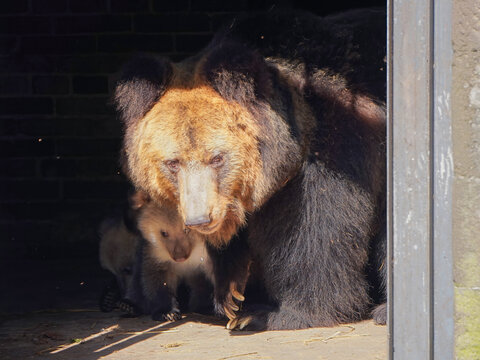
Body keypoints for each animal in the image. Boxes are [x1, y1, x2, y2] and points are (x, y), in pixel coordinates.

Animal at [115, 7, 386, 330]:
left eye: (216, 158)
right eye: (173, 162)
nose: (199, 219)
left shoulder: (335, 149)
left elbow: (318, 231)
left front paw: (279, 313)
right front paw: (231, 295)